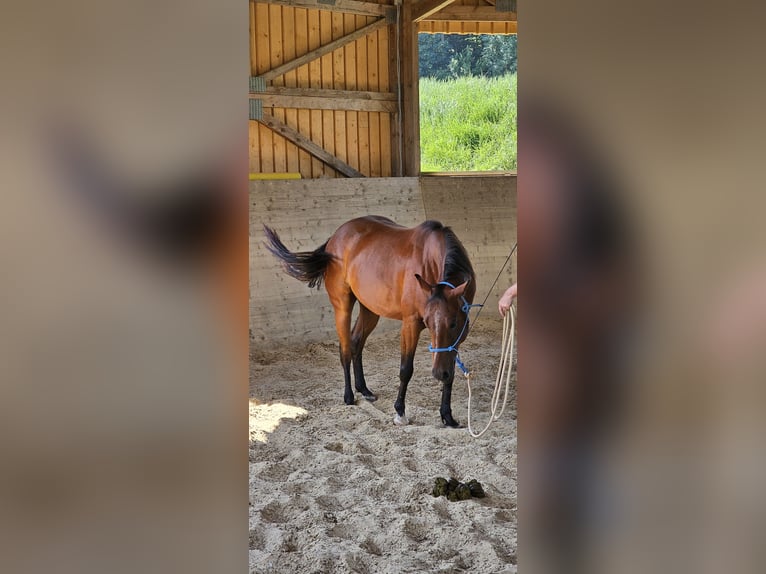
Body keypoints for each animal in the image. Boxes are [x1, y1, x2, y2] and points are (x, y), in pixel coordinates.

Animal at [263, 215, 477, 427]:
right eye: (428, 322)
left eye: (453, 323)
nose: (438, 374)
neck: (430, 263)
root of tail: (335, 237)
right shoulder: (411, 324)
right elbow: (406, 369)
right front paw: (399, 412)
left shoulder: (456, 338)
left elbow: (451, 370)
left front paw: (447, 416)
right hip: (342, 307)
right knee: (345, 349)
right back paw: (349, 396)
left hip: (369, 310)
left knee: (356, 342)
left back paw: (364, 389)